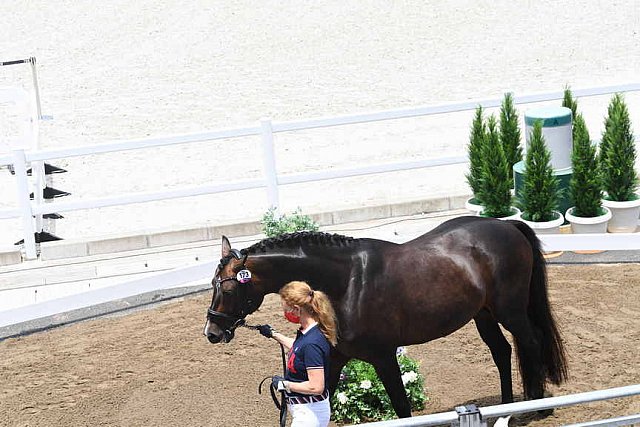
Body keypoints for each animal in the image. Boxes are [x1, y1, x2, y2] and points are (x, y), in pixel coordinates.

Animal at [202, 217, 568, 418]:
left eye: (229, 289)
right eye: (212, 284)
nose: (212, 331)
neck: (346, 282)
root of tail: (506, 225)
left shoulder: (383, 356)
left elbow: (402, 407)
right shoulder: (335, 356)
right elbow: (326, 397)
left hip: (510, 310)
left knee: (530, 342)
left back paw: (536, 408)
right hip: (483, 314)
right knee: (502, 351)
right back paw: (506, 406)